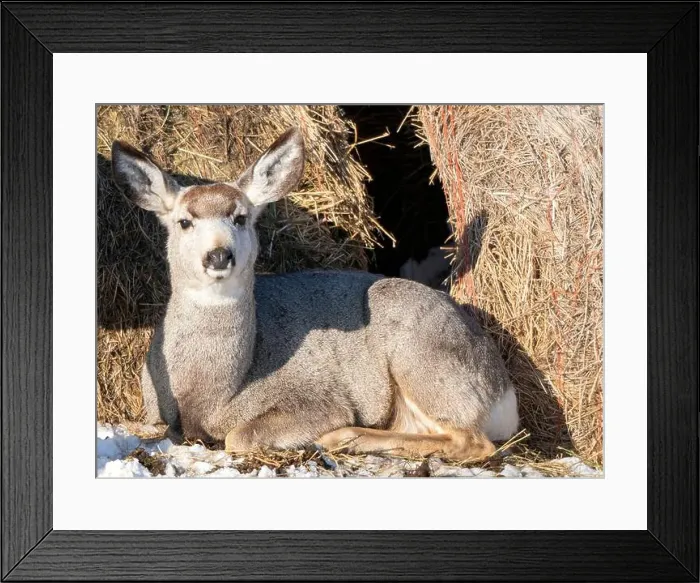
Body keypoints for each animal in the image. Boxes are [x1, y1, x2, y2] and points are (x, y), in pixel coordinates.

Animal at [111, 127, 519, 462]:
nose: (218, 255)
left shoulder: (317, 400)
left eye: (241, 218)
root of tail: (505, 392)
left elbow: (238, 436)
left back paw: (343, 438)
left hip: (424, 358)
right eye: (184, 221)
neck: (209, 396)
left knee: (475, 442)